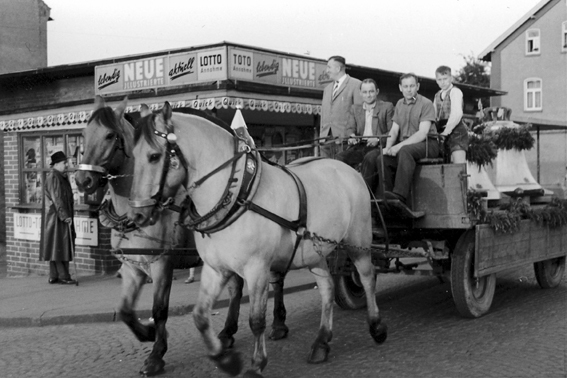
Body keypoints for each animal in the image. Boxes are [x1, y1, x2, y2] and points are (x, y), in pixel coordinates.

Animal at [127, 101, 386, 378]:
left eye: (154, 156)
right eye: (133, 155)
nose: (136, 214)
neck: (237, 194)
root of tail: (347, 168)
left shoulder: (256, 268)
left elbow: (257, 320)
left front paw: (256, 363)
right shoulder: (215, 269)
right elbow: (199, 316)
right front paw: (225, 358)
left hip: (358, 241)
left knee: (368, 277)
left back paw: (376, 326)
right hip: (313, 252)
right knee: (327, 288)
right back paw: (321, 342)